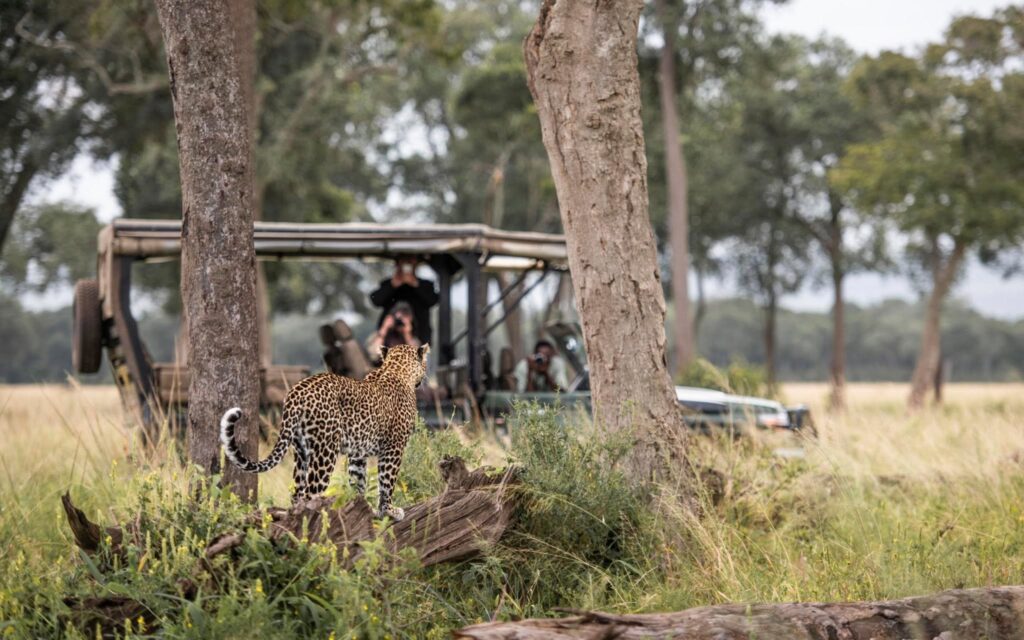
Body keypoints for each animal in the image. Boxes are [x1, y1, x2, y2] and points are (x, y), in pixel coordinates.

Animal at [219, 343, 429, 521]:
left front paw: (363, 508)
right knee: (310, 495)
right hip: (325, 452)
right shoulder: (394, 448)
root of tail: (296, 392)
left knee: (297, 496)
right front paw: (389, 510)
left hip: (301, 452)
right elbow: (387, 482)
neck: (395, 369)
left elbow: (358, 481)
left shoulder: (357, 454)